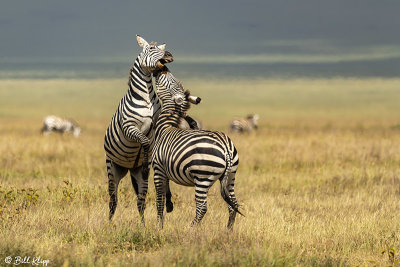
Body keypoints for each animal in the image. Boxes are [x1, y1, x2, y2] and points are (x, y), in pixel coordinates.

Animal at [103, 35, 173, 224]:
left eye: (163, 48)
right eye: (151, 49)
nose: (169, 55)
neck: (146, 97)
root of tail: (127, 168)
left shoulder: (157, 126)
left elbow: (150, 142)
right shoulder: (130, 127)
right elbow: (145, 140)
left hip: (136, 175)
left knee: (141, 201)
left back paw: (142, 226)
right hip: (113, 168)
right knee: (113, 200)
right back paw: (108, 224)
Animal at [152, 66, 242, 228]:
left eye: (172, 81)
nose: (163, 68)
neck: (165, 126)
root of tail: (226, 147)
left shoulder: (158, 169)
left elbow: (158, 201)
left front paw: (159, 227)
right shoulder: (165, 170)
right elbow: (166, 193)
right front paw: (169, 206)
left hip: (202, 177)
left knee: (202, 207)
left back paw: (190, 228)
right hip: (231, 176)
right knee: (233, 205)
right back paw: (228, 231)